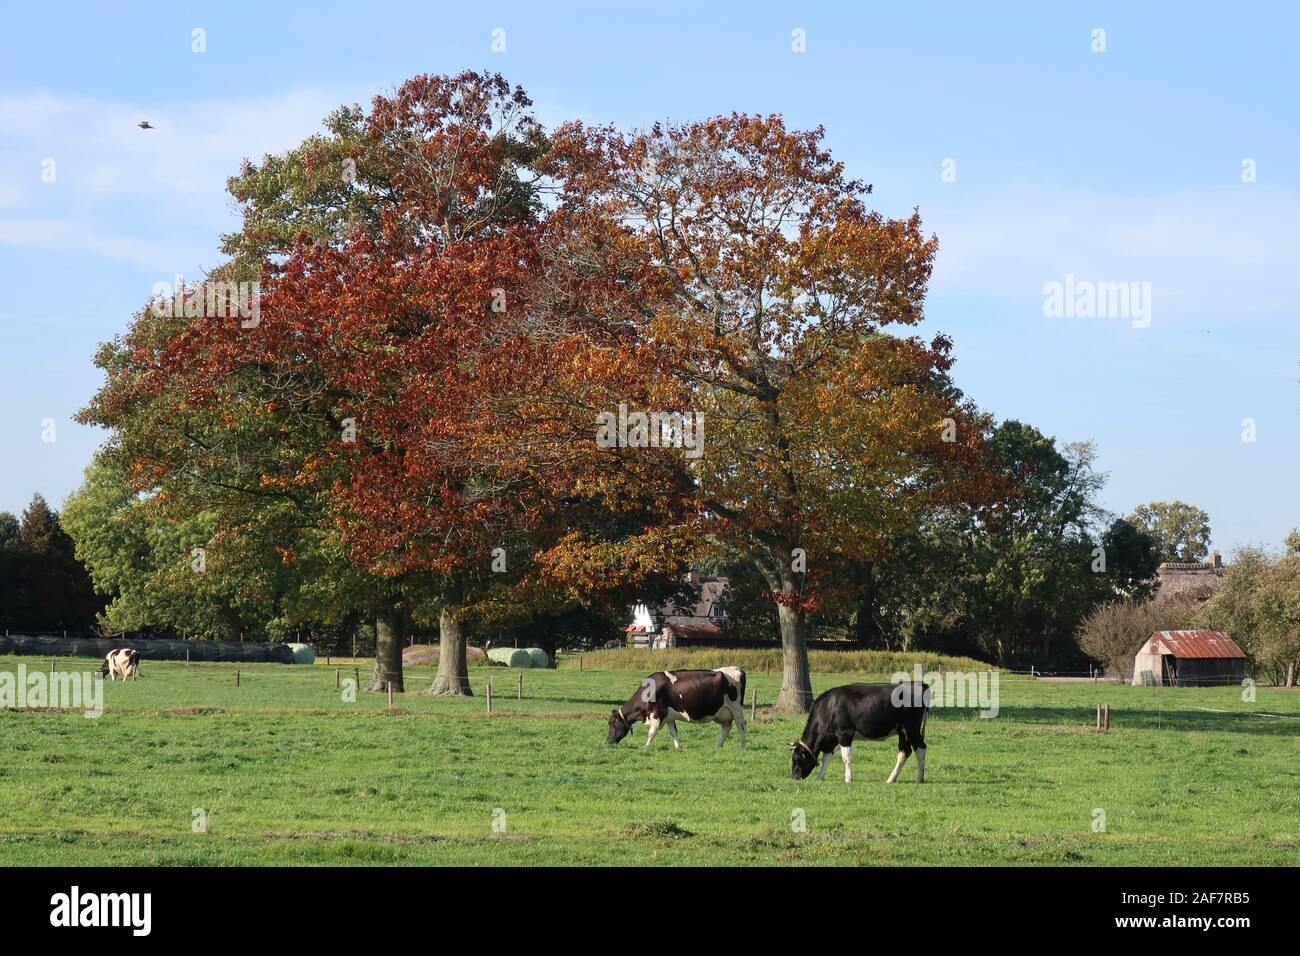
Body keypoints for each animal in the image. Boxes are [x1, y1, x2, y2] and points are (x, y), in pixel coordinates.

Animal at [607, 666, 747, 750]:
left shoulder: (659, 713)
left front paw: (647, 746)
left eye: (612, 723)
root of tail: (737, 668)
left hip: (736, 709)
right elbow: (673, 732)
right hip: (724, 713)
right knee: (726, 728)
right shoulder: (669, 717)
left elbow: (652, 732)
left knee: (741, 726)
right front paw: (677, 747)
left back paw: (742, 746)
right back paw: (718, 745)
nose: (608, 740)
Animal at [790, 682, 929, 784]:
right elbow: (826, 758)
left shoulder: (844, 733)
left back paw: (919, 778)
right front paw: (820, 776)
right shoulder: (831, 739)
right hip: (902, 730)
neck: (828, 707)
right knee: (905, 752)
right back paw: (891, 779)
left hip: (912, 727)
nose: (794, 777)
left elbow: (846, 757)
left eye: (797, 759)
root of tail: (918, 683)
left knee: (921, 749)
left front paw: (848, 778)